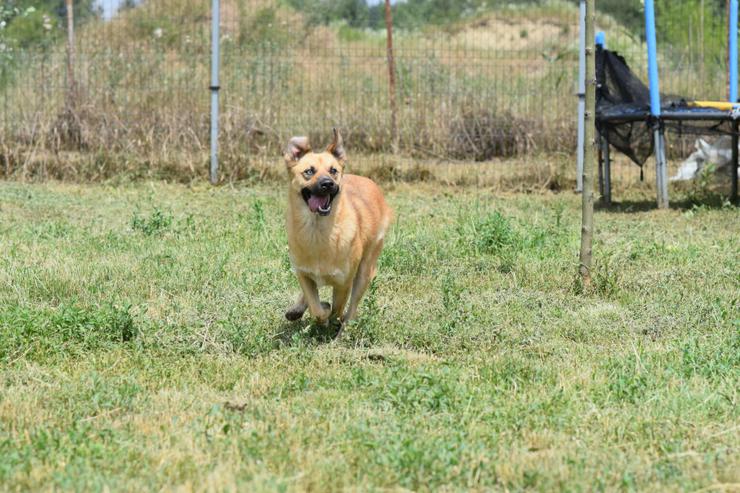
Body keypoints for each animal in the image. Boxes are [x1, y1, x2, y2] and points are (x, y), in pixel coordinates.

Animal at [282, 128, 394, 330]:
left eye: (333, 170)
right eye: (309, 171)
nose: (327, 184)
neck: (317, 231)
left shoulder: (344, 282)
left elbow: (336, 309)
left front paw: (329, 317)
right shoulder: (303, 274)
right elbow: (316, 309)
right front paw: (318, 311)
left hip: (365, 270)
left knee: (351, 310)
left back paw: (343, 330)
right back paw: (297, 309)